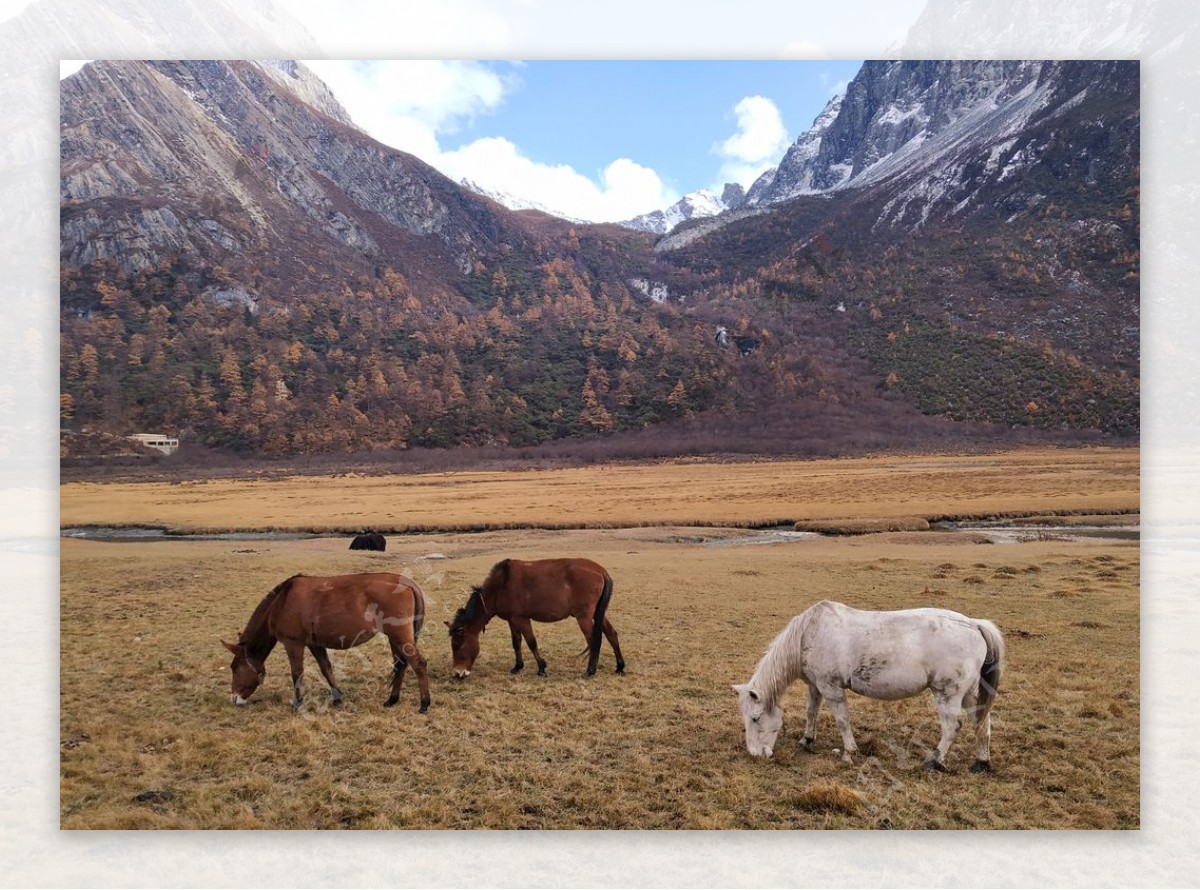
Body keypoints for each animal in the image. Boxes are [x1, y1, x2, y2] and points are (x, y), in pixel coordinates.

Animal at [223, 575, 434, 714]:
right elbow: (326, 669)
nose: (234, 698)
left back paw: (424, 703)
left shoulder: (293, 644)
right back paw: (392, 699)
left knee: (418, 664)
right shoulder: (315, 644)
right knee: (401, 665)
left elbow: (297, 674)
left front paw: (297, 704)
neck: (282, 601)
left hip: (399, 635)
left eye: (235, 668)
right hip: (395, 637)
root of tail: (408, 584)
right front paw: (337, 697)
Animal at [444, 561, 628, 681]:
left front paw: (541, 668)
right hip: (598, 613)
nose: (458, 673)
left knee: (594, 640)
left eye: (458, 646)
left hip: (584, 617)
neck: (501, 586)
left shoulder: (522, 619)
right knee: (612, 634)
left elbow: (531, 642)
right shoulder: (512, 620)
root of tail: (601, 571)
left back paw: (590, 670)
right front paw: (518, 666)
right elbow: (516, 642)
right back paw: (620, 666)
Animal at [729, 599, 1003, 772]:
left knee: (952, 727)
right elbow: (811, 712)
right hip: (968, 693)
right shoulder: (816, 686)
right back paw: (981, 763)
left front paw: (850, 752)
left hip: (948, 693)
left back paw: (934, 762)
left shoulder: (831, 688)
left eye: (755, 719)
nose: (755, 754)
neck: (809, 633)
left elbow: (842, 720)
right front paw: (806, 740)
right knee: (982, 723)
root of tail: (974, 624)